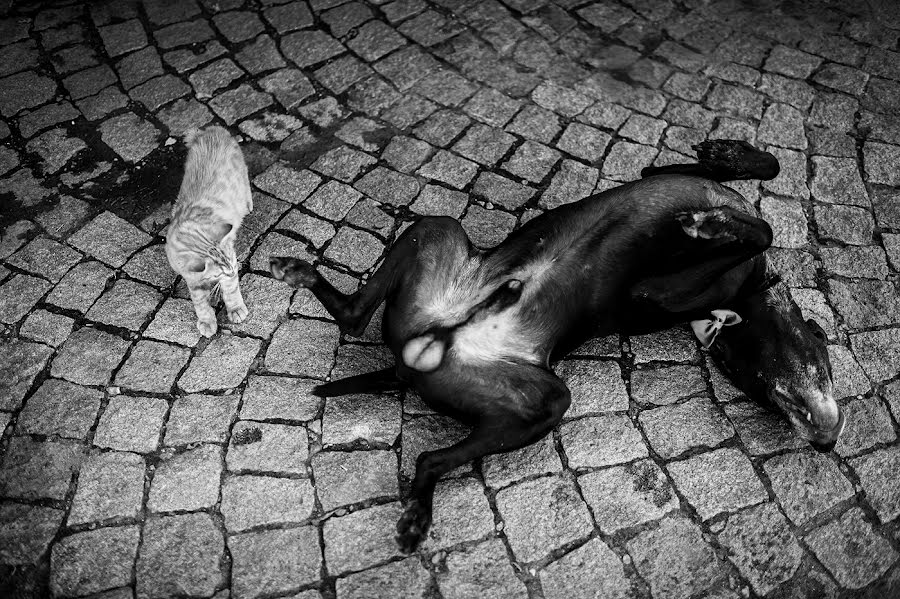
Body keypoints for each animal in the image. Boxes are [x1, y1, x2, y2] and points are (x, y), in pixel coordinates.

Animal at [165, 126, 253, 338]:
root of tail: (211, 130)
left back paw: (248, 204)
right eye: (217, 273)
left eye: (230, 262)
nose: (233, 271)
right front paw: (206, 320)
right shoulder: (191, 278)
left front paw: (235, 309)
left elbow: (230, 290)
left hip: (241, 173)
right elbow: (199, 302)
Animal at [268, 141, 844, 552]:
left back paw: (417, 515)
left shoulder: (652, 293)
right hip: (439, 231)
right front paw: (724, 163)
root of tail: (422, 353)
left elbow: (760, 224)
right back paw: (298, 271)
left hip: (541, 399)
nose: (825, 441)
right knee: (355, 316)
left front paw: (714, 211)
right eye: (764, 386)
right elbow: (762, 196)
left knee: (428, 453)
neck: (747, 290)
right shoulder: (661, 198)